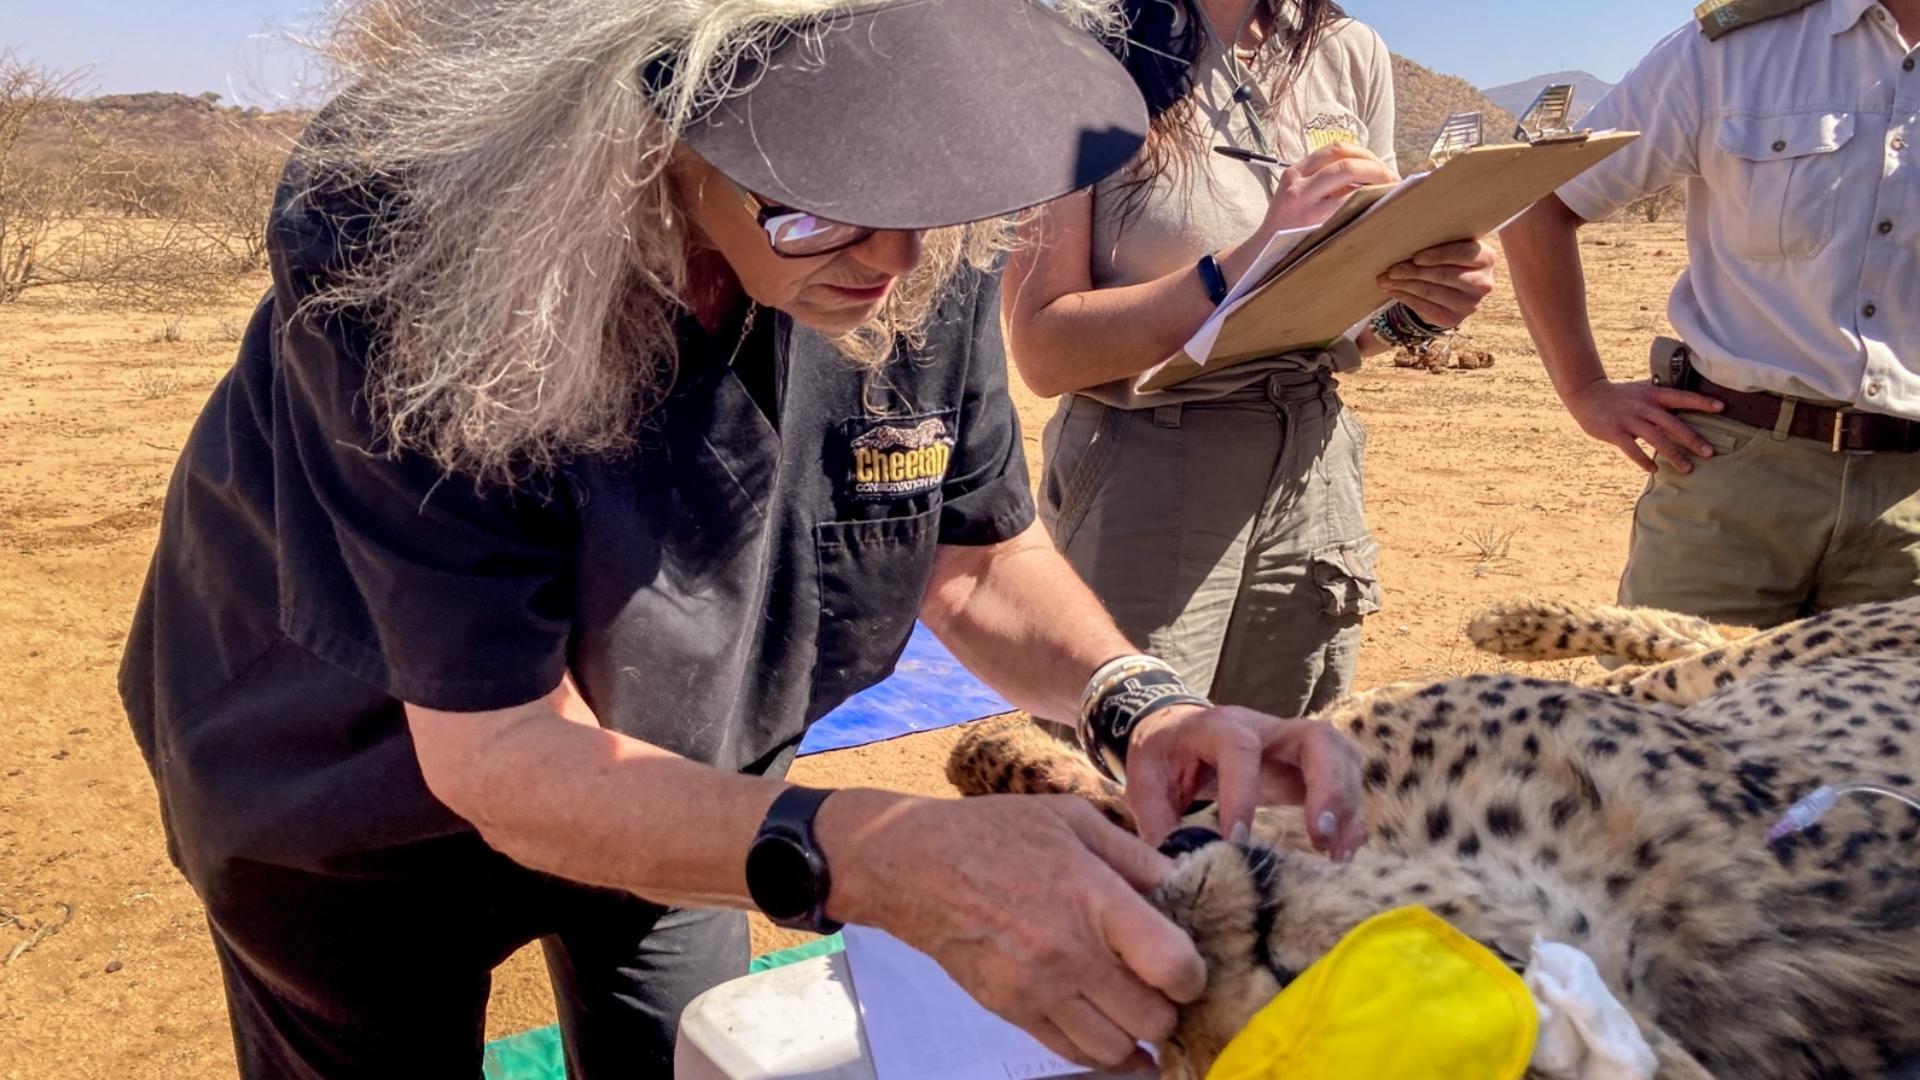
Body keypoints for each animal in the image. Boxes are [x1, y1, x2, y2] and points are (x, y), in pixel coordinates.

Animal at [944, 595, 1920, 1076]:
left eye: (1296, 979)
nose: (1177, 886)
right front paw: (994, 752)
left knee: (1704, 647)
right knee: (1702, 639)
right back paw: (1516, 618)